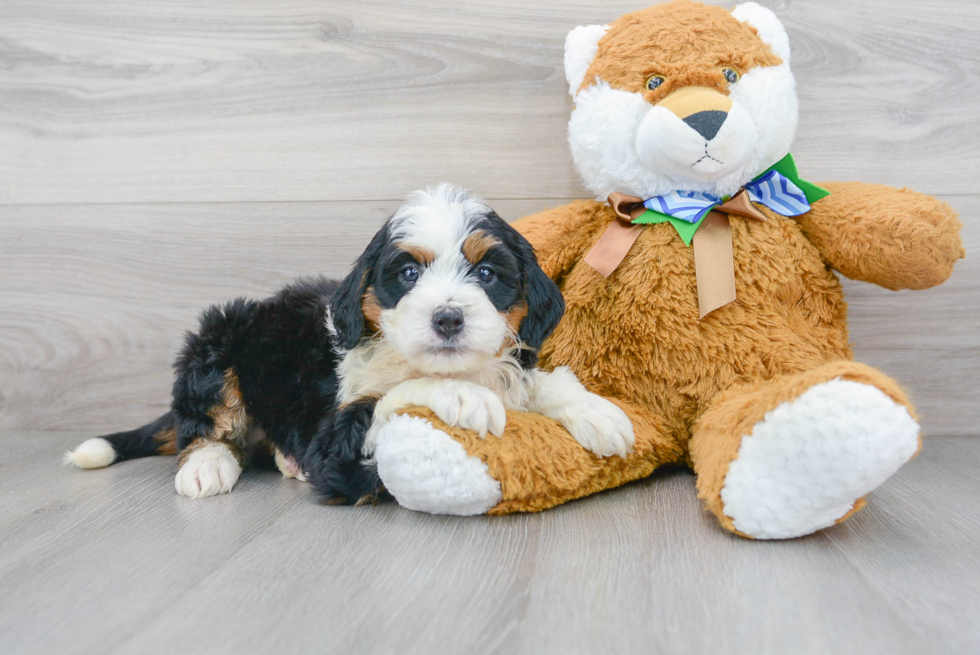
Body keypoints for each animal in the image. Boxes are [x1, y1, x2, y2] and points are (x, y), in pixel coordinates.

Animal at [67, 187, 636, 504]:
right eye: (407, 274)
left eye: (487, 273)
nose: (448, 318)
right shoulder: (334, 439)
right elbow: (392, 394)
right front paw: (462, 396)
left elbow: (532, 381)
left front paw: (596, 411)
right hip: (219, 338)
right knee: (204, 423)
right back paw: (207, 465)